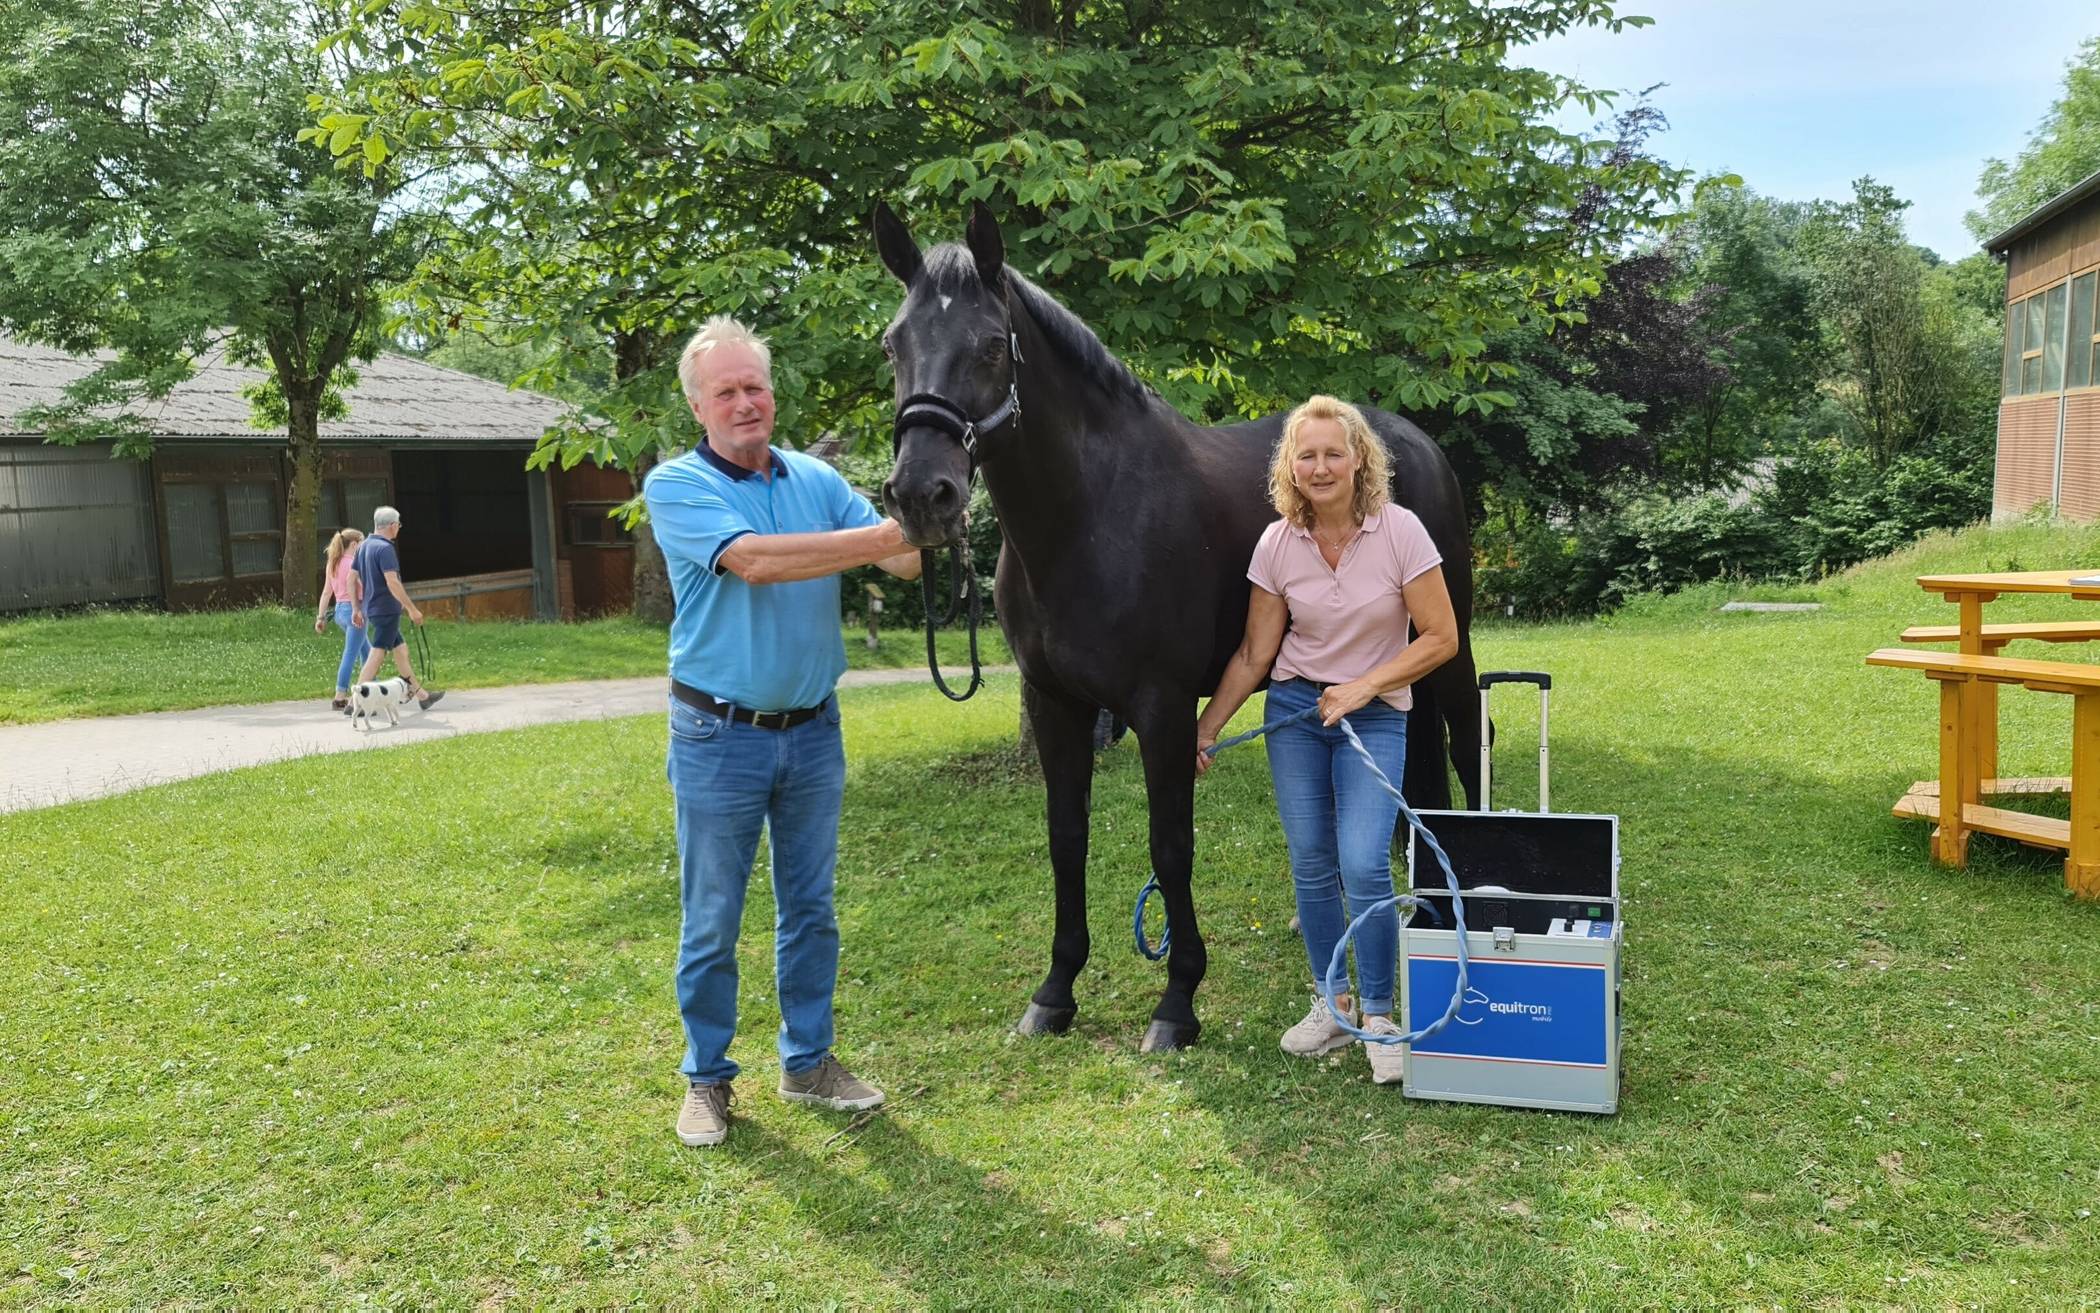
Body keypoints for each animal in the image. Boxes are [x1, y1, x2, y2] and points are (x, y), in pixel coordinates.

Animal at [869, 204, 1478, 1050]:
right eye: (893, 343)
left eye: (991, 342)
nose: (921, 494)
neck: (1089, 515)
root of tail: (1413, 440)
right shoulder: (1055, 704)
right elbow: (1066, 838)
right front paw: (1056, 989)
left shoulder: (1162, 709)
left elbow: (1170, 844)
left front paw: (1178, 1000)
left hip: (1449, 651)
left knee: (1465, 745)